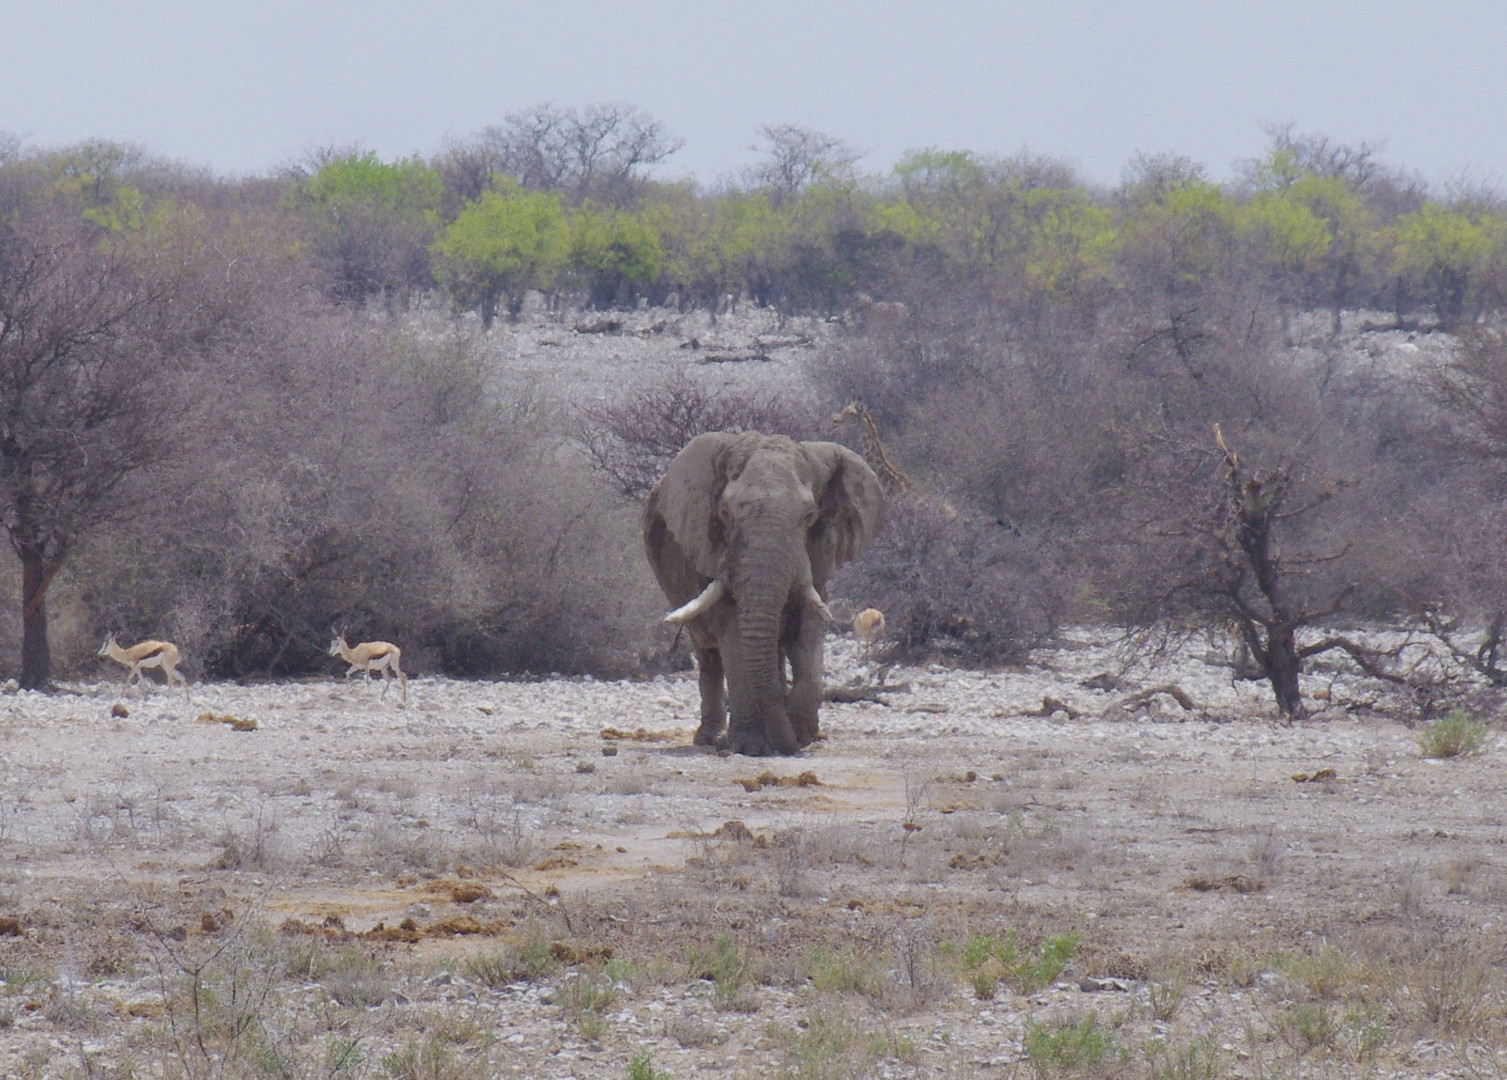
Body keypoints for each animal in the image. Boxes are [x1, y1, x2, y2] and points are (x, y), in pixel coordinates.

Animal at [644, 427, 880, 750]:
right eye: (724, 513)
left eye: (809, 515)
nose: (790, 747)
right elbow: (733, 634)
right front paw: (752, 747)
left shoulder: (815, 556)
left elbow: (808, 628)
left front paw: (802, 736)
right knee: (709, 656)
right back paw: (711, 738)